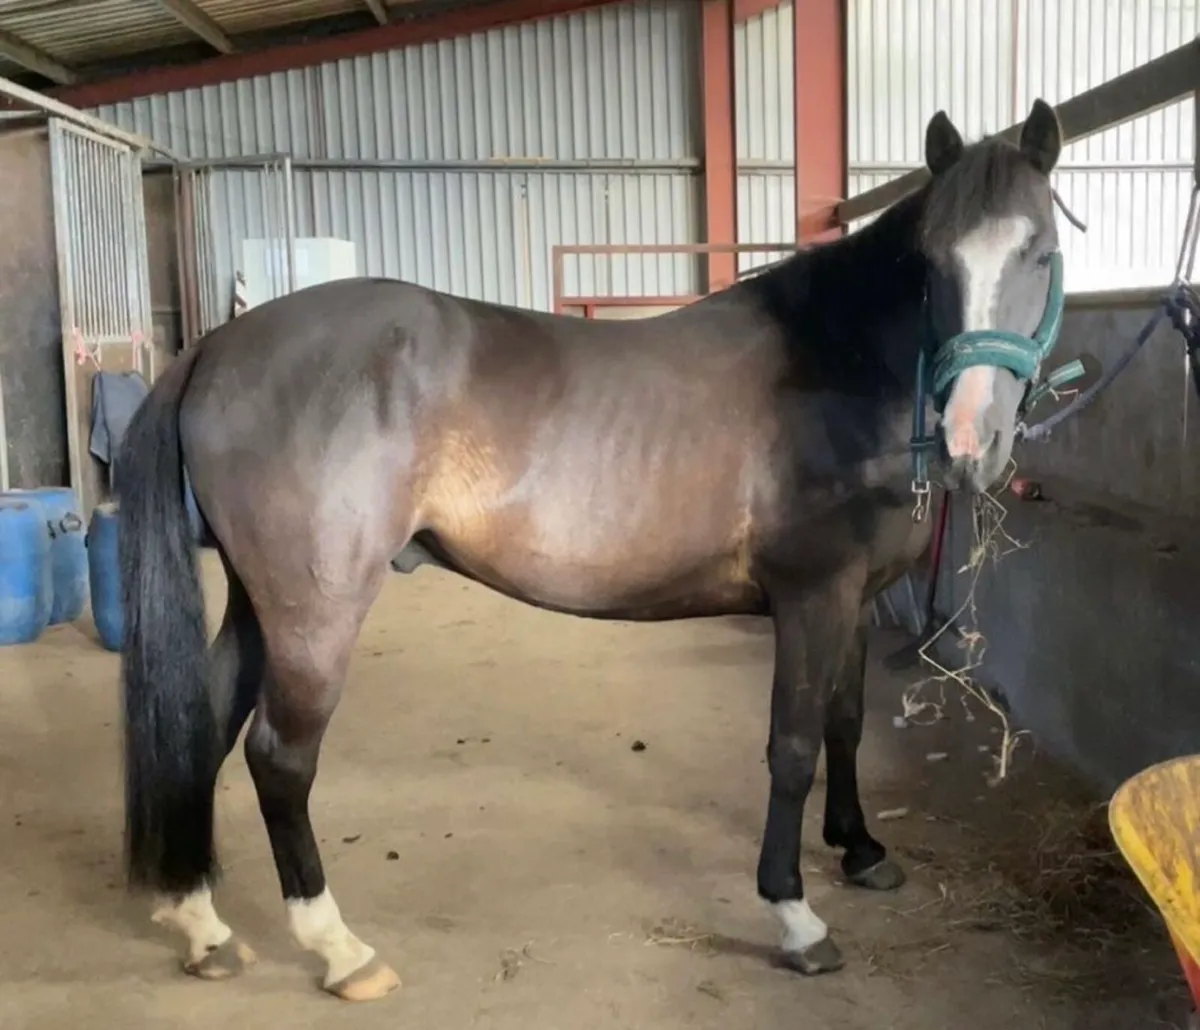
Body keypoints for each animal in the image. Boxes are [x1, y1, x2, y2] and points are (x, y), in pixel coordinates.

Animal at [115, 99, 1066, 1001]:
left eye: (1041, 253)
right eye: (931, 263)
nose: (973, 441)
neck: (833, 359)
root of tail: (217, 346)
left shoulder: (853, 601)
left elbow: (845, 722)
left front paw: (861, 848)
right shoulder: (811, 596)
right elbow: (793, 746)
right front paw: (795, 915)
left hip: (259, 606)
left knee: (205, 727)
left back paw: (202, 925)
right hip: (316, 615)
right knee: (279, 756)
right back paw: (338, 949)